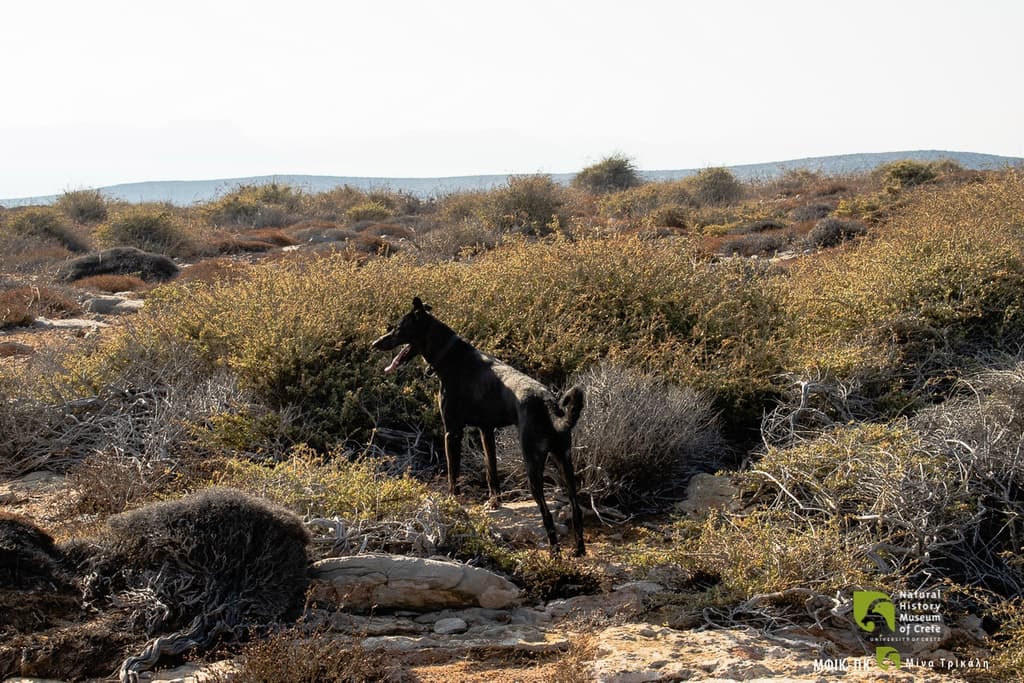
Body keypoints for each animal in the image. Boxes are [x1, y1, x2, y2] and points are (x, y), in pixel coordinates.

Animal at [374, 296, 585, 557]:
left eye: (397, 328)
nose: (375, 343)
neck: (449, 354)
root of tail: (548, 403)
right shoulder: (486, 430)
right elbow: (490, 469)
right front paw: (495, 501)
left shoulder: (452, 432)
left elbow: (453, 474)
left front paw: (451, 502)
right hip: (564, 460)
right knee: (576, 506)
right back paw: (579, 550)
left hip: (534, 464)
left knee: (546, 513)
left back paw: (555, 553)